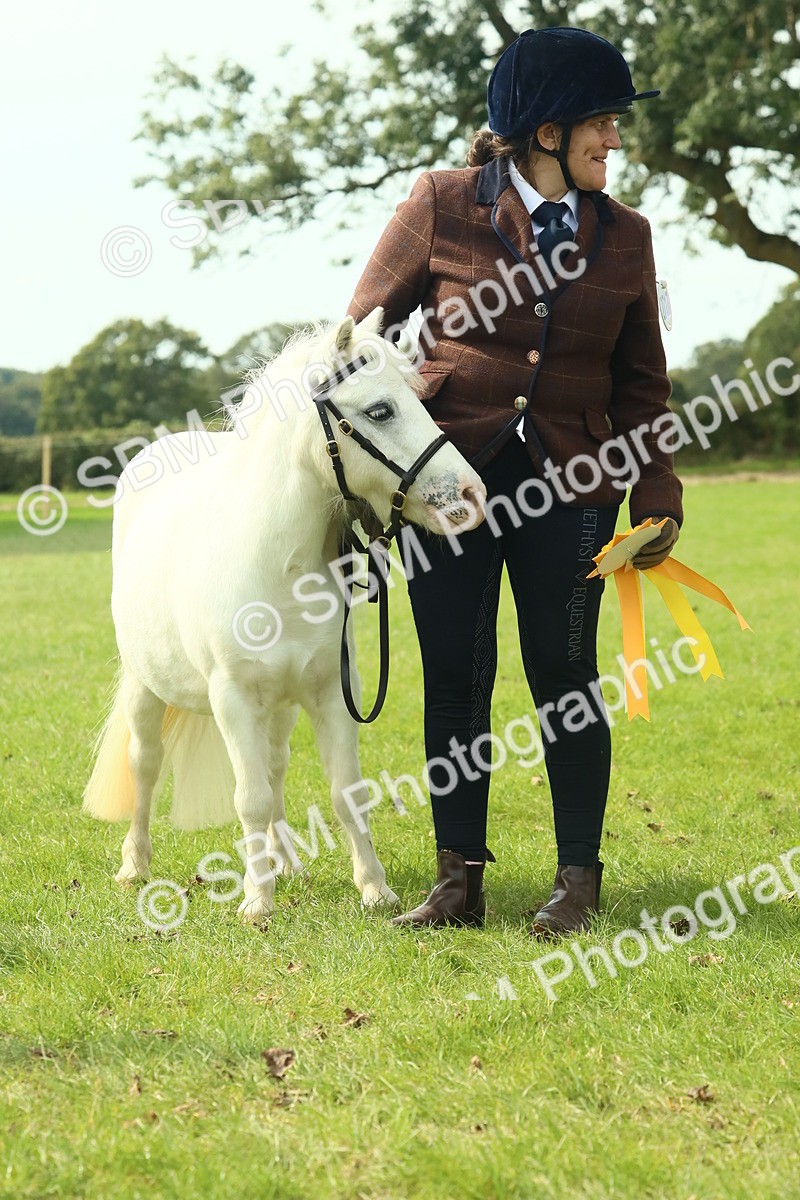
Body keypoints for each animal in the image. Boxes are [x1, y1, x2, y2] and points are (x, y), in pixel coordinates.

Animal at [83, 307, 486, 923]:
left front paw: (374, 888)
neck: (277, 563)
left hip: (280, 707)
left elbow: (345, 791)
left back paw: (286, 860)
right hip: (144, 688)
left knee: (274, 769)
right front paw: (256, 901)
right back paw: (136, 865)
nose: (471, 493)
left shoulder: (331, 694)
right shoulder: (232, 700)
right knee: (146, 765)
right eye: (380, 409)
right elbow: (247, 799)